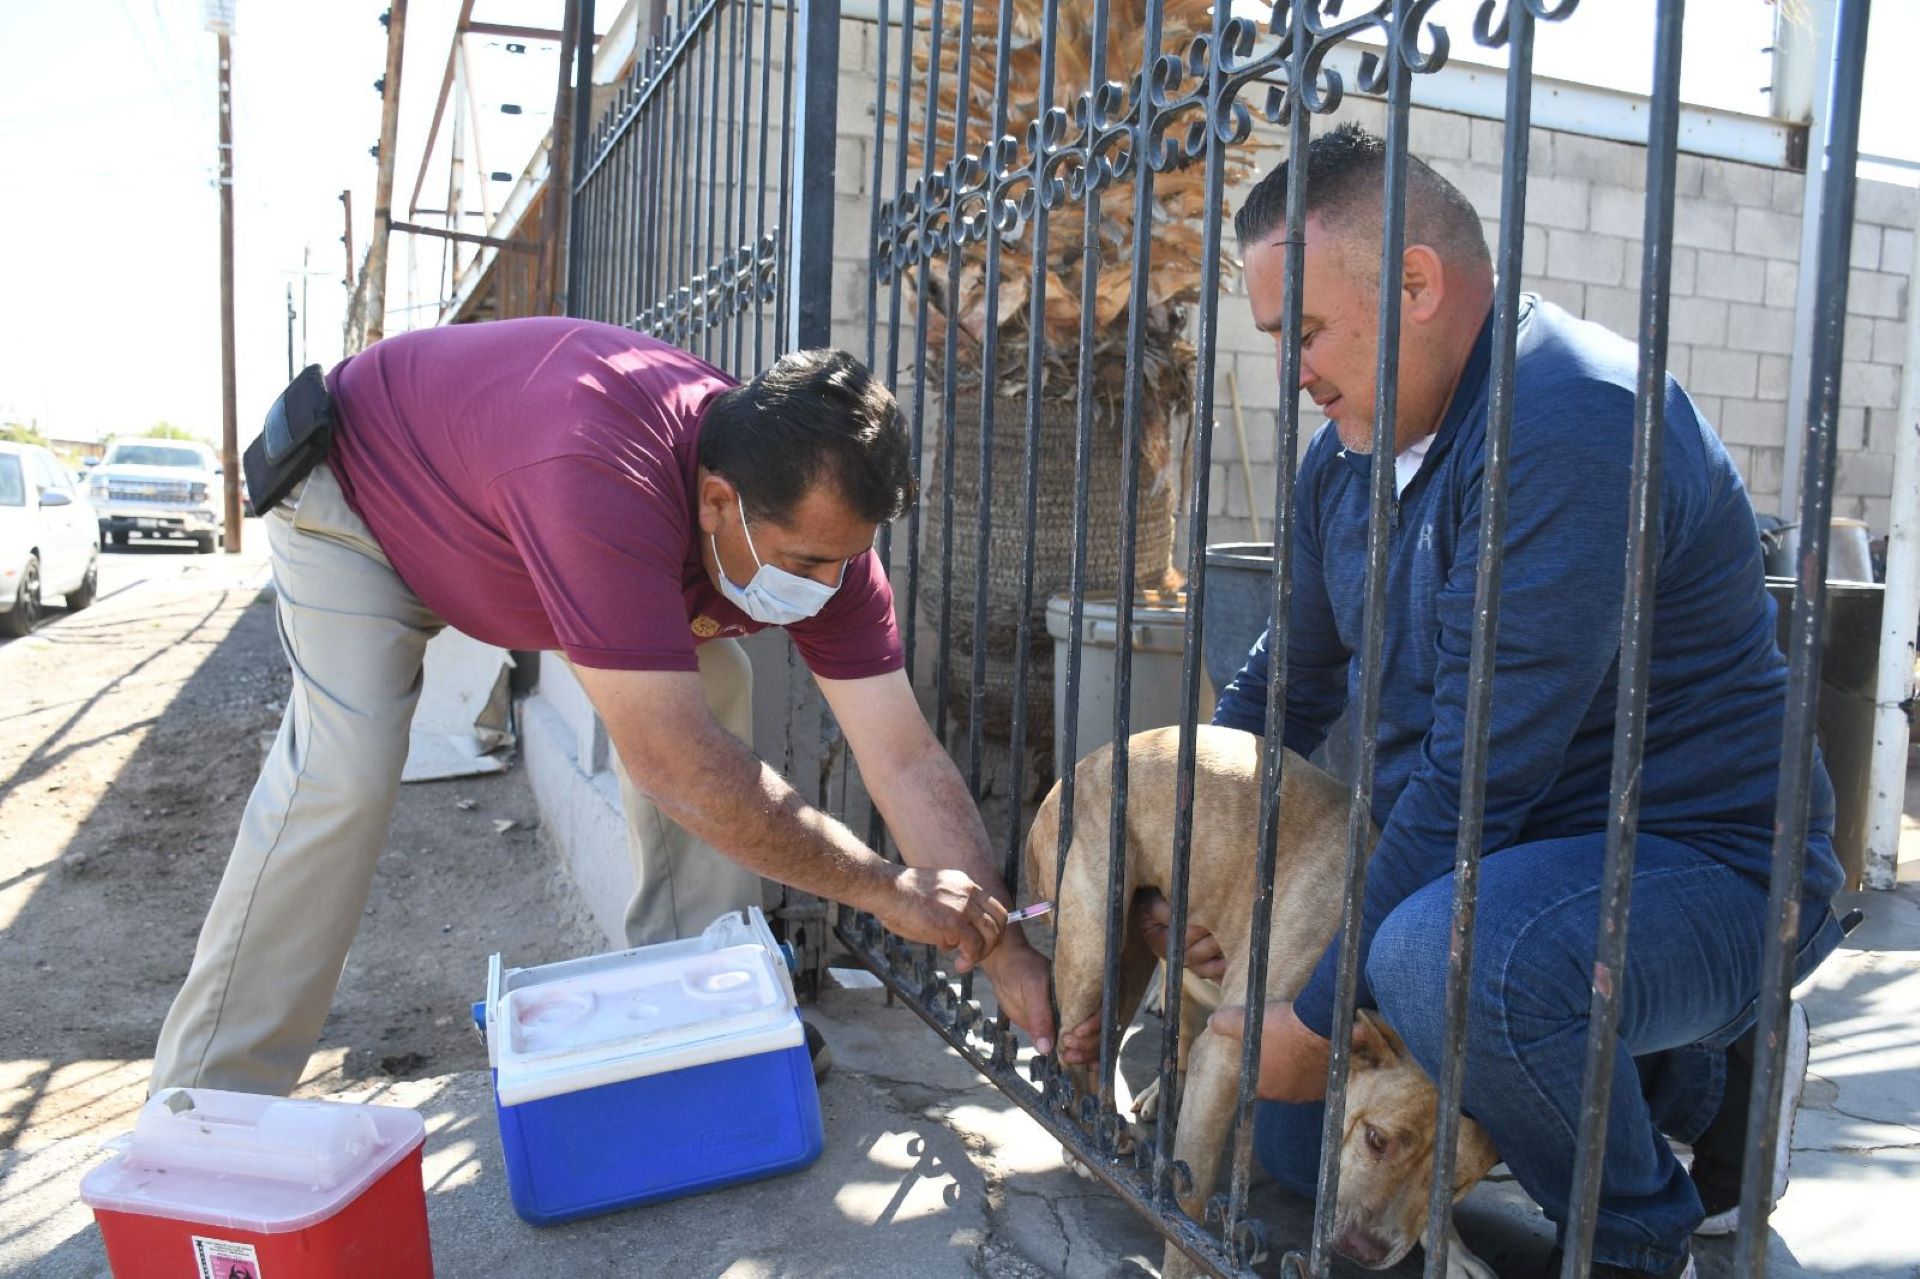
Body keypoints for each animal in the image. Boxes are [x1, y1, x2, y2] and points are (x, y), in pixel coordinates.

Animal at [1021, 722, 1497, 1275]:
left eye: (1456, 1187)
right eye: (1377, 1140)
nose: (1365, 1250)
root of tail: (1080, 767)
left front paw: (1453, 1251)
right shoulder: (1226, 1057)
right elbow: (1188, 1203)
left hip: (1132, 957)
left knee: (1112, 1039)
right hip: (1095, 949)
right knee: (1071, 1045)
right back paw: (1082, 1138)